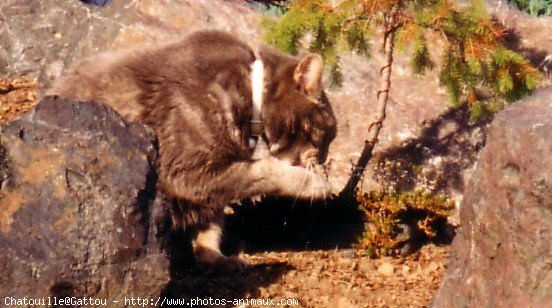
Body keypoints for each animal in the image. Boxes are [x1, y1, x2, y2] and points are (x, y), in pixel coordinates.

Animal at [47, 28, 338, 270]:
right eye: (328, 133)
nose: (325, 157)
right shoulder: (189, 172)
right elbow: (264, 173)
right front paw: (315, 184)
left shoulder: (207, 185)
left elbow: (211, 224)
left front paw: (215, 256)